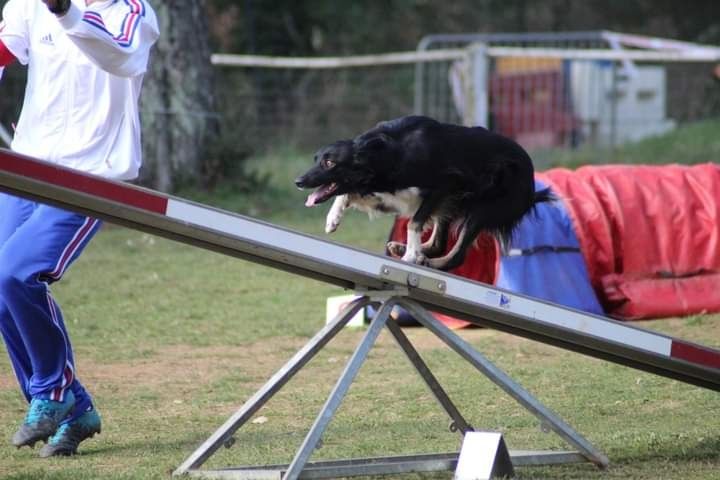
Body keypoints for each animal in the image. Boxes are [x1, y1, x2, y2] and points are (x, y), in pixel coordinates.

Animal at [294, 115, 552, 270]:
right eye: (316, 160)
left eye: (329, 163)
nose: (299, 181)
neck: (390, 152)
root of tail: (531, 182)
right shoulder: (390, 193)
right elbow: (346, 194)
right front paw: (332, 219)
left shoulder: (446, 184)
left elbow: (414, 222)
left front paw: (410, 255)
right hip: (453, 207)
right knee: (439, 242)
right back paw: (409, 250)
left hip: (482, 209)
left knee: (456, 254)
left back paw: (426, 261)